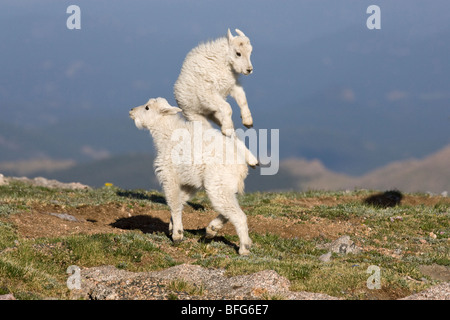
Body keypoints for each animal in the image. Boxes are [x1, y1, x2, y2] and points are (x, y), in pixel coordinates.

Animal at [130, 97, 256, 255]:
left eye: (147, 108)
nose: (131, 111)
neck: (167, 135)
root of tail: (242, 167)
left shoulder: (169, 175)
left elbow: (174, 203)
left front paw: (177, 235)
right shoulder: (189, 183)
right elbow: (181, 201)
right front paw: (172, 227)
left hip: (217, 185)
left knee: (238, 215)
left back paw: (244, 248)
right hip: (225, 186)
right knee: (230, 210)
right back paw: (212, 229)